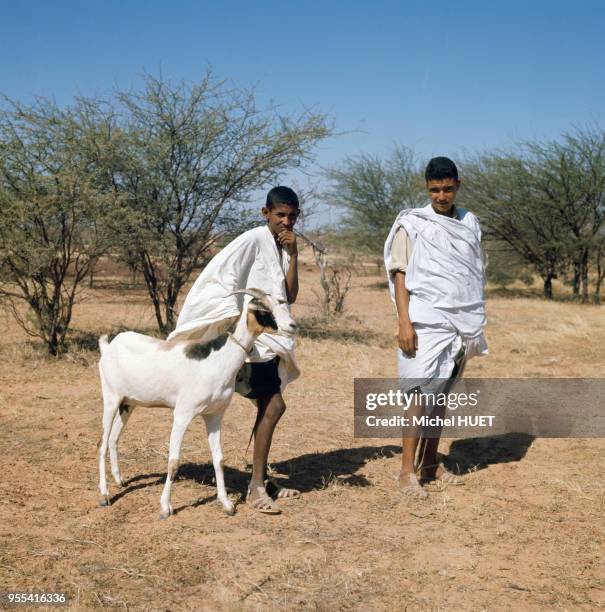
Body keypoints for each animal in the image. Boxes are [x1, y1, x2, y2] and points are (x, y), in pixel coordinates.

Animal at [96, 290, 294, 520]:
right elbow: (173, 461)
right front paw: (165, 507)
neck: (217, 360)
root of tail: (109, 347)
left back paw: (119, 480)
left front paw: (226, 503)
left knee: (113, 439)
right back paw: (105, 495)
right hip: (111, 398)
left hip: (128, 403)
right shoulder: (182, 414)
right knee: (102, 443)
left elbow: (218, 459)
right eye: (264, 308)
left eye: (280, 302)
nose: (292, 326)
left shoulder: (214, 415)